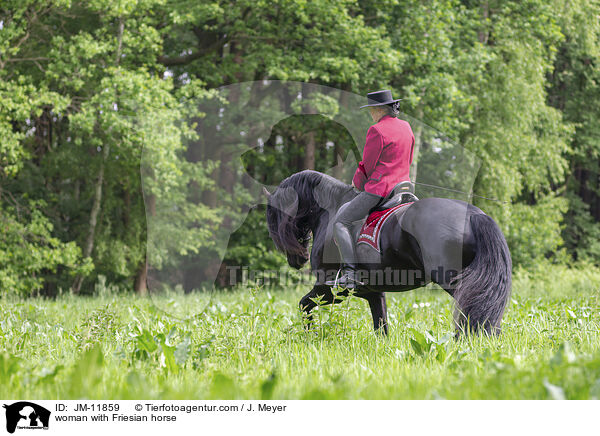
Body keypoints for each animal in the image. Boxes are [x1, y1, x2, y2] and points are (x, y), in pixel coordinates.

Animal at [264, 169, 510, 336]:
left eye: (273, 217)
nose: (297, 260)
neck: (332, 209)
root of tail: (474, 214)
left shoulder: (330, 289)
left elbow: (304, 304)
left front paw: (310, 335)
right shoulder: (373, 293)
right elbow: (381, 327)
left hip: (455, 281)